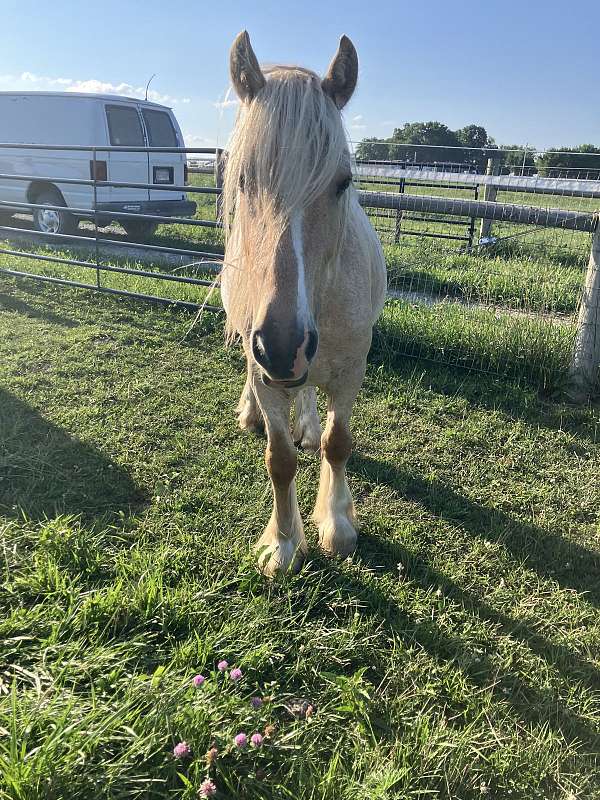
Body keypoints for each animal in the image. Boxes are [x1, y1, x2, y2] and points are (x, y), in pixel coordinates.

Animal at [221, 31, 387, 576]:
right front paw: (283, 542)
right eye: (244, 179)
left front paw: (336, 524)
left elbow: (338, 444)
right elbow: (280, 459)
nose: (281, 345)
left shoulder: (352, 366)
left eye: (343, 181)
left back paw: (309, 424)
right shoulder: (264, 367)